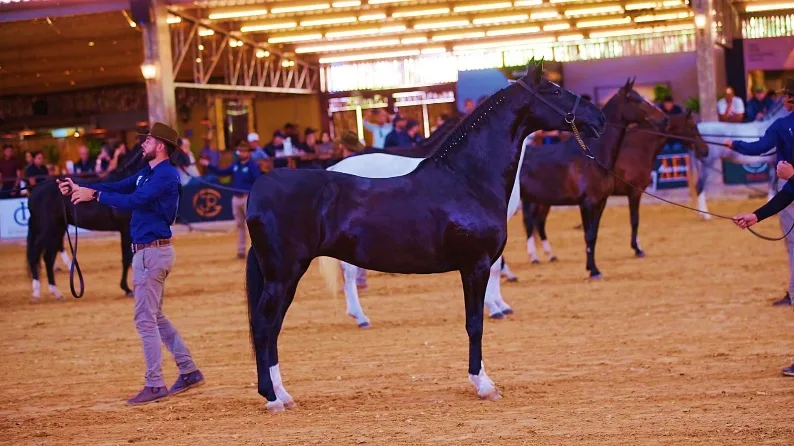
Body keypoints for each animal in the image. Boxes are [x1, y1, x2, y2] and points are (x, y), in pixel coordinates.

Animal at [26, 148, 145, 301]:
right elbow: (127, 259)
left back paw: (57, 293)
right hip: (48, 229)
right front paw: (128, 289)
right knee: (36, 254)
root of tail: (34, 192)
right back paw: (36, 293)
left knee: (47, 257)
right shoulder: (125, 230)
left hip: (57, 230)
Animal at [518, 78, 668, 279]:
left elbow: (594, 235)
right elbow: (588, 235)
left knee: (536, 223)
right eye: (635, 99)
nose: (663, 119)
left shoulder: (601, 202)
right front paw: (594, 271)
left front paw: (593, 268)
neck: (593, 155)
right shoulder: (586, 203)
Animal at [524, 111, 709, 263]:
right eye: (692, 126)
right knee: (532, 222)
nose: (705, 150)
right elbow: (634, 220)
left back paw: (549, 254)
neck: (637, 149)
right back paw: (535, 256)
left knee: (537, 222)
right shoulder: (634, 192)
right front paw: (637, 249)